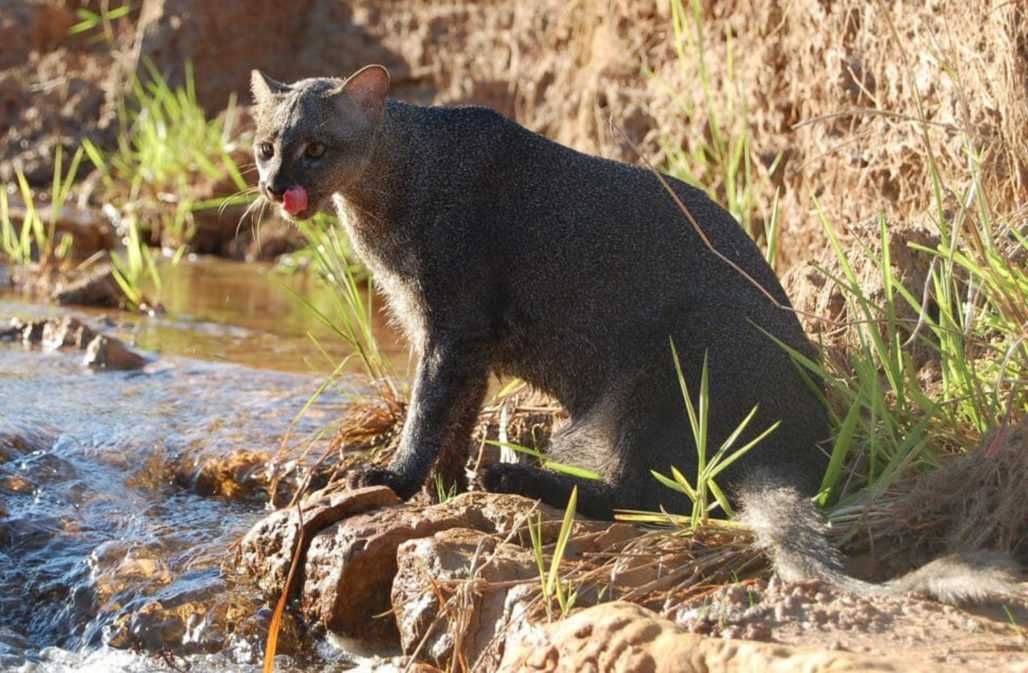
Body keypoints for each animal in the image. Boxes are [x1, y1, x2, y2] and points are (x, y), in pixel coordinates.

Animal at [248, 64, 1019, 604]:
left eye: (315, 148)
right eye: (264, 147)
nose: (275, 185)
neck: (400, 192)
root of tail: (802, 444)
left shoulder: (452, 322)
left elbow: (425, 412)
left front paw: (394, 478)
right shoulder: (455, 337)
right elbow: (454, 419)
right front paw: (441, 489)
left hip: (651, 381)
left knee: (655, 497)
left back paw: (513, 474)